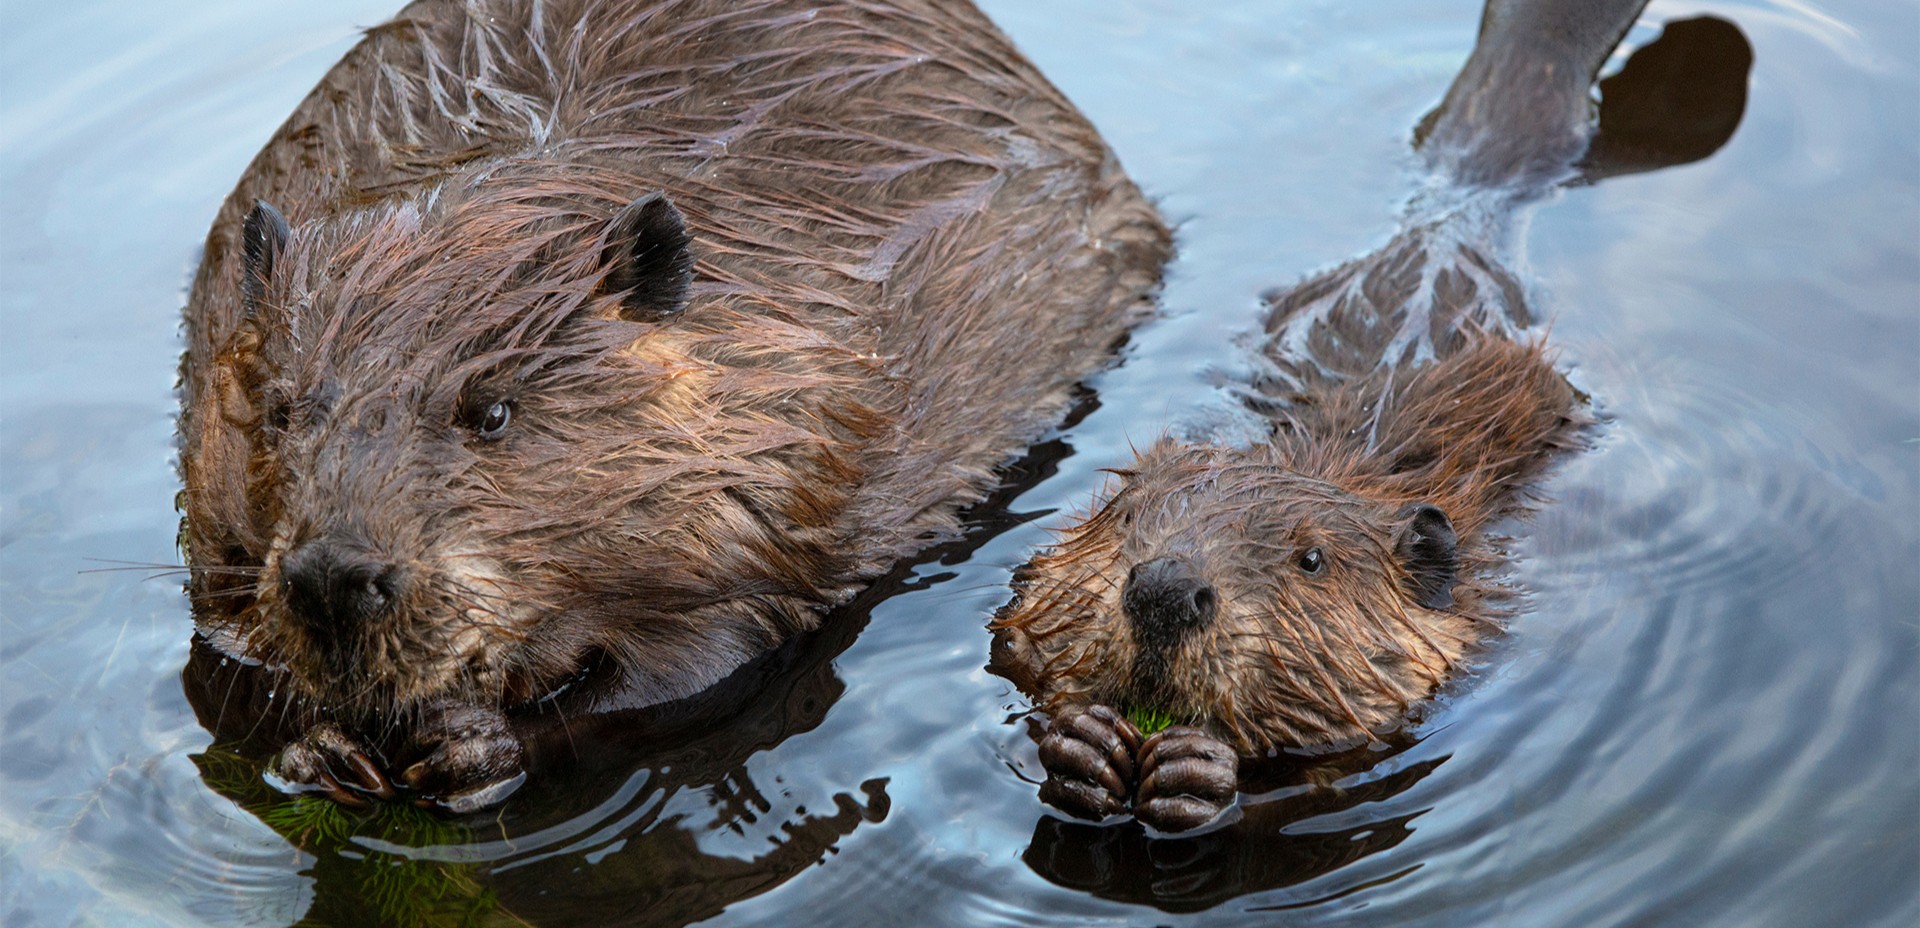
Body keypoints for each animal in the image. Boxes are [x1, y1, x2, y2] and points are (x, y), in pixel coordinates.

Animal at [183, 0, 1167, 814]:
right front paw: (318, 751)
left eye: (492, 413)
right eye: (283, 412)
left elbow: (698, 667)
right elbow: (222, 644)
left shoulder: (796, 469)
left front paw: (471, 748)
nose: (335, 577)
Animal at [990, 0, 1758, 830]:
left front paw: (1194, 770)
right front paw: (1085, 746)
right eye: (1129, 518)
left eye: (1311, 559)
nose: (1164, 588)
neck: (1332, 460)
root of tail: (1464, 198)